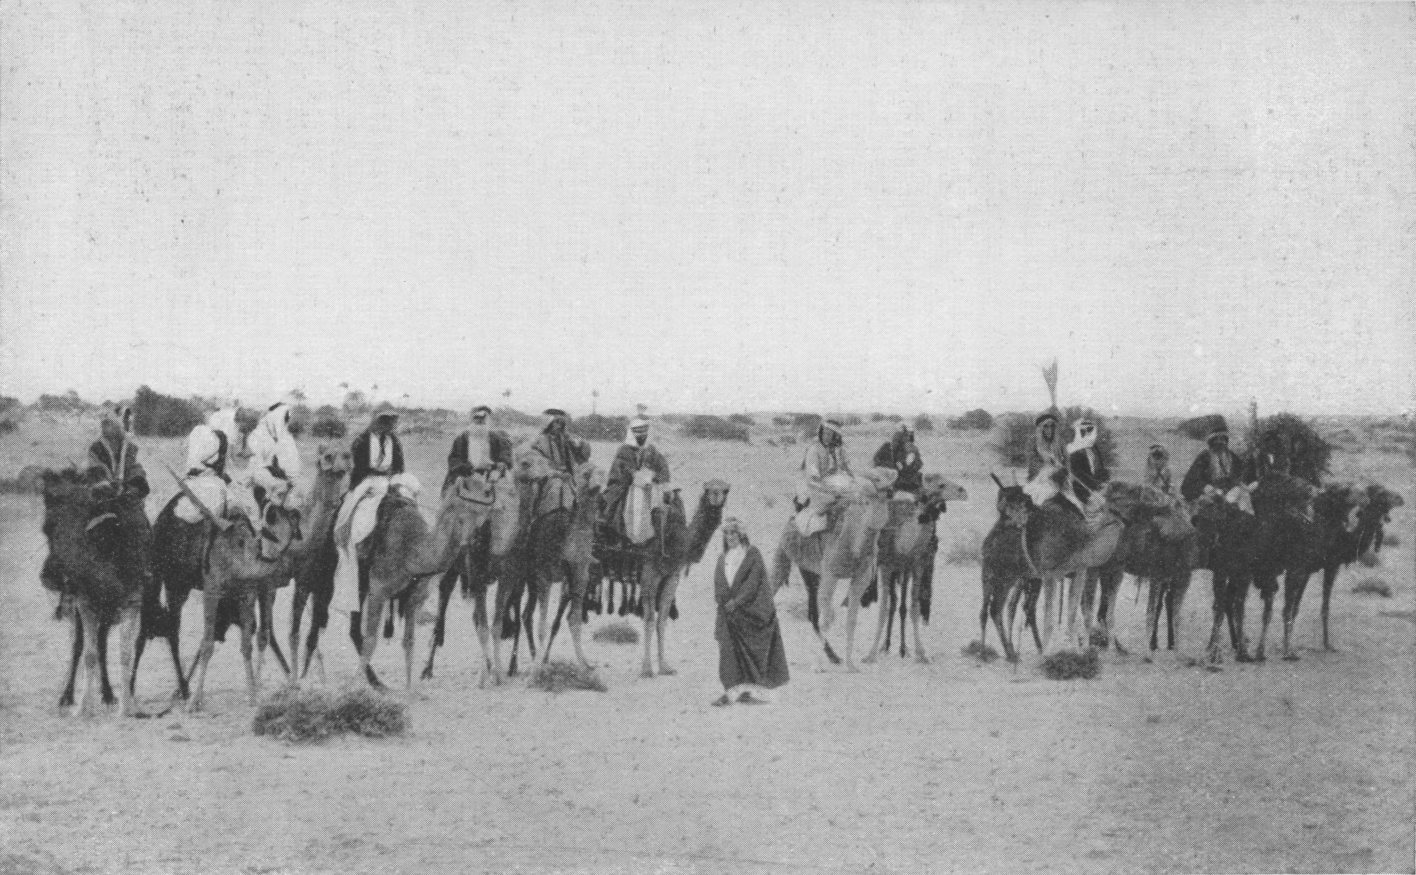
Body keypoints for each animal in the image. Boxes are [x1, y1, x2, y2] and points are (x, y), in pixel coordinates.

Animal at [41, 467, 146, 710]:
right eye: (46, 530)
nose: (48, 576)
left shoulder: (122, 603)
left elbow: (112, 649)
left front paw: (122, 701)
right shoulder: (87, 603)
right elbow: (88, 649)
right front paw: (82, 703)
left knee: (99, 643)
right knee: (82, 643)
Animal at [356, 472, 501, 685]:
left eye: (485, 511)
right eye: (463, 512)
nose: (473, 541)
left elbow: (409, 642)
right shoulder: (378, 589)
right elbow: (370, 640)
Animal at [775, 470, 894, 668]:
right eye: (865, 499)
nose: (888, 489)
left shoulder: (861, 578)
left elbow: (851, 619)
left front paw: (850, 665)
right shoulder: (831, 574)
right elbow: (827, 618)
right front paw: (818, 666)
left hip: (811, 572)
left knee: (813, 614)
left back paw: (834, 657)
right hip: (791, 560)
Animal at [866, 475, 968, 659]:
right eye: (941, 485)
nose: (963, 492)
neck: (903, 544)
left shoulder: (916, 566)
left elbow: (914, 607)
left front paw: (921, 652)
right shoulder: (886, 566)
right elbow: (883, 609)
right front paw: (871, 653)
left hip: (905, 571)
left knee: (901, 604)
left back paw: (901, 648)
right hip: (892, 569)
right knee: (893, 602)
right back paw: (886, 646)